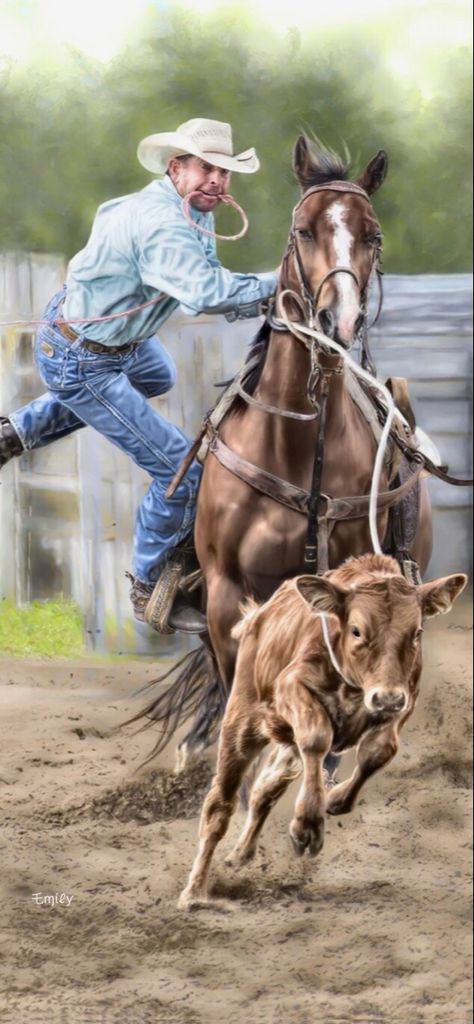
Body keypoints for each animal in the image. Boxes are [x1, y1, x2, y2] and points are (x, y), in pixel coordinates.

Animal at [180, 557, 468, 909]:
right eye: (357, 630)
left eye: (417, 632)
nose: (386, 698)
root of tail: (260, 616)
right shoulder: (291, 687)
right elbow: (318, 738)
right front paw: (307, 827)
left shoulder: (404, 701)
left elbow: (379, 752)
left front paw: (335, 798)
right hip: (242, 721)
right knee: (219, 805)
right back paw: (195, 892)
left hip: (285, 745)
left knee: (266, 788)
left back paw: (240, 854)